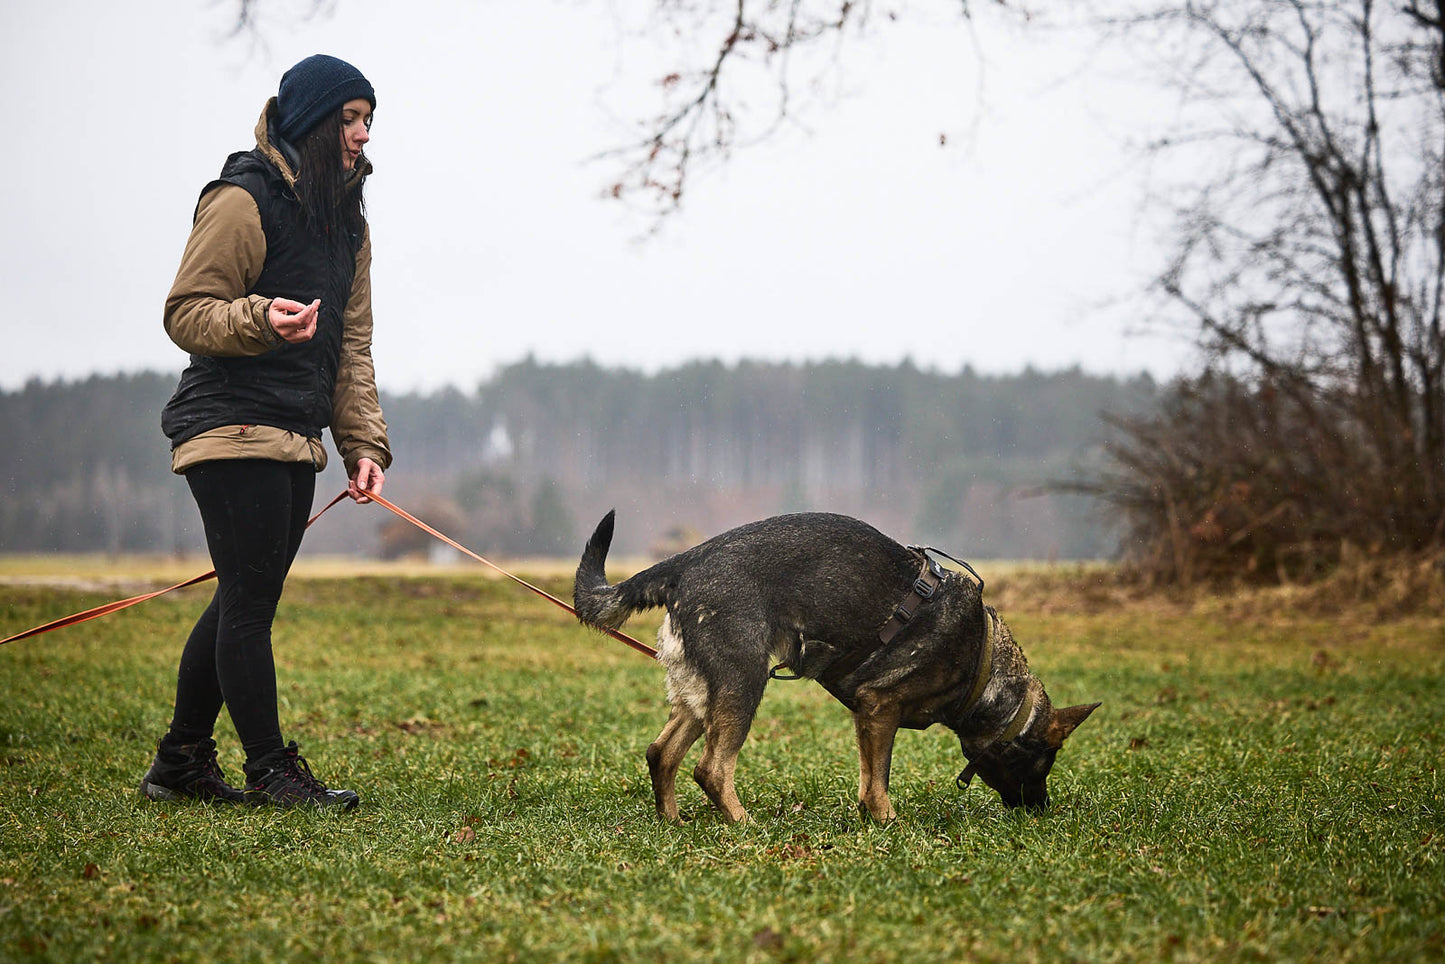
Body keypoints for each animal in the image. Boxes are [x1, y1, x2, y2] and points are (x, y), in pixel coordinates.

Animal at [569, 511, 1098, 820]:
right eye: (1044, 760)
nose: (1040, 811)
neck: (982, 670)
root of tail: (683, 562)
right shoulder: (880, 709)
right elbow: (878, 783)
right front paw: (888, 824)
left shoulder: (868, 716)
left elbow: (867, 780)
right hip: (743, 684)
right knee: (712, 769)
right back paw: (743, 825)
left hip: (702, 694)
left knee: (662, 753)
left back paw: (674, 822)